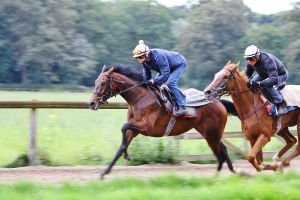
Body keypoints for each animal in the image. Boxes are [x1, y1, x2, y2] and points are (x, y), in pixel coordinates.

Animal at [89, 64, 237, 178]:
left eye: (103, 83)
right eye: (95, 82)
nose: (91, 103)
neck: (139, 98)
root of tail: (219, 102)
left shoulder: (146, 127)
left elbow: (124, 127)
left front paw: (127, 156)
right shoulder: (135, 129)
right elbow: (121, 145)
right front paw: (104, 172)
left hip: (211, 133)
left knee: (221, 151)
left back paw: (224, 174)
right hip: (209, 133)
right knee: (222, 149)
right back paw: (228, 173)